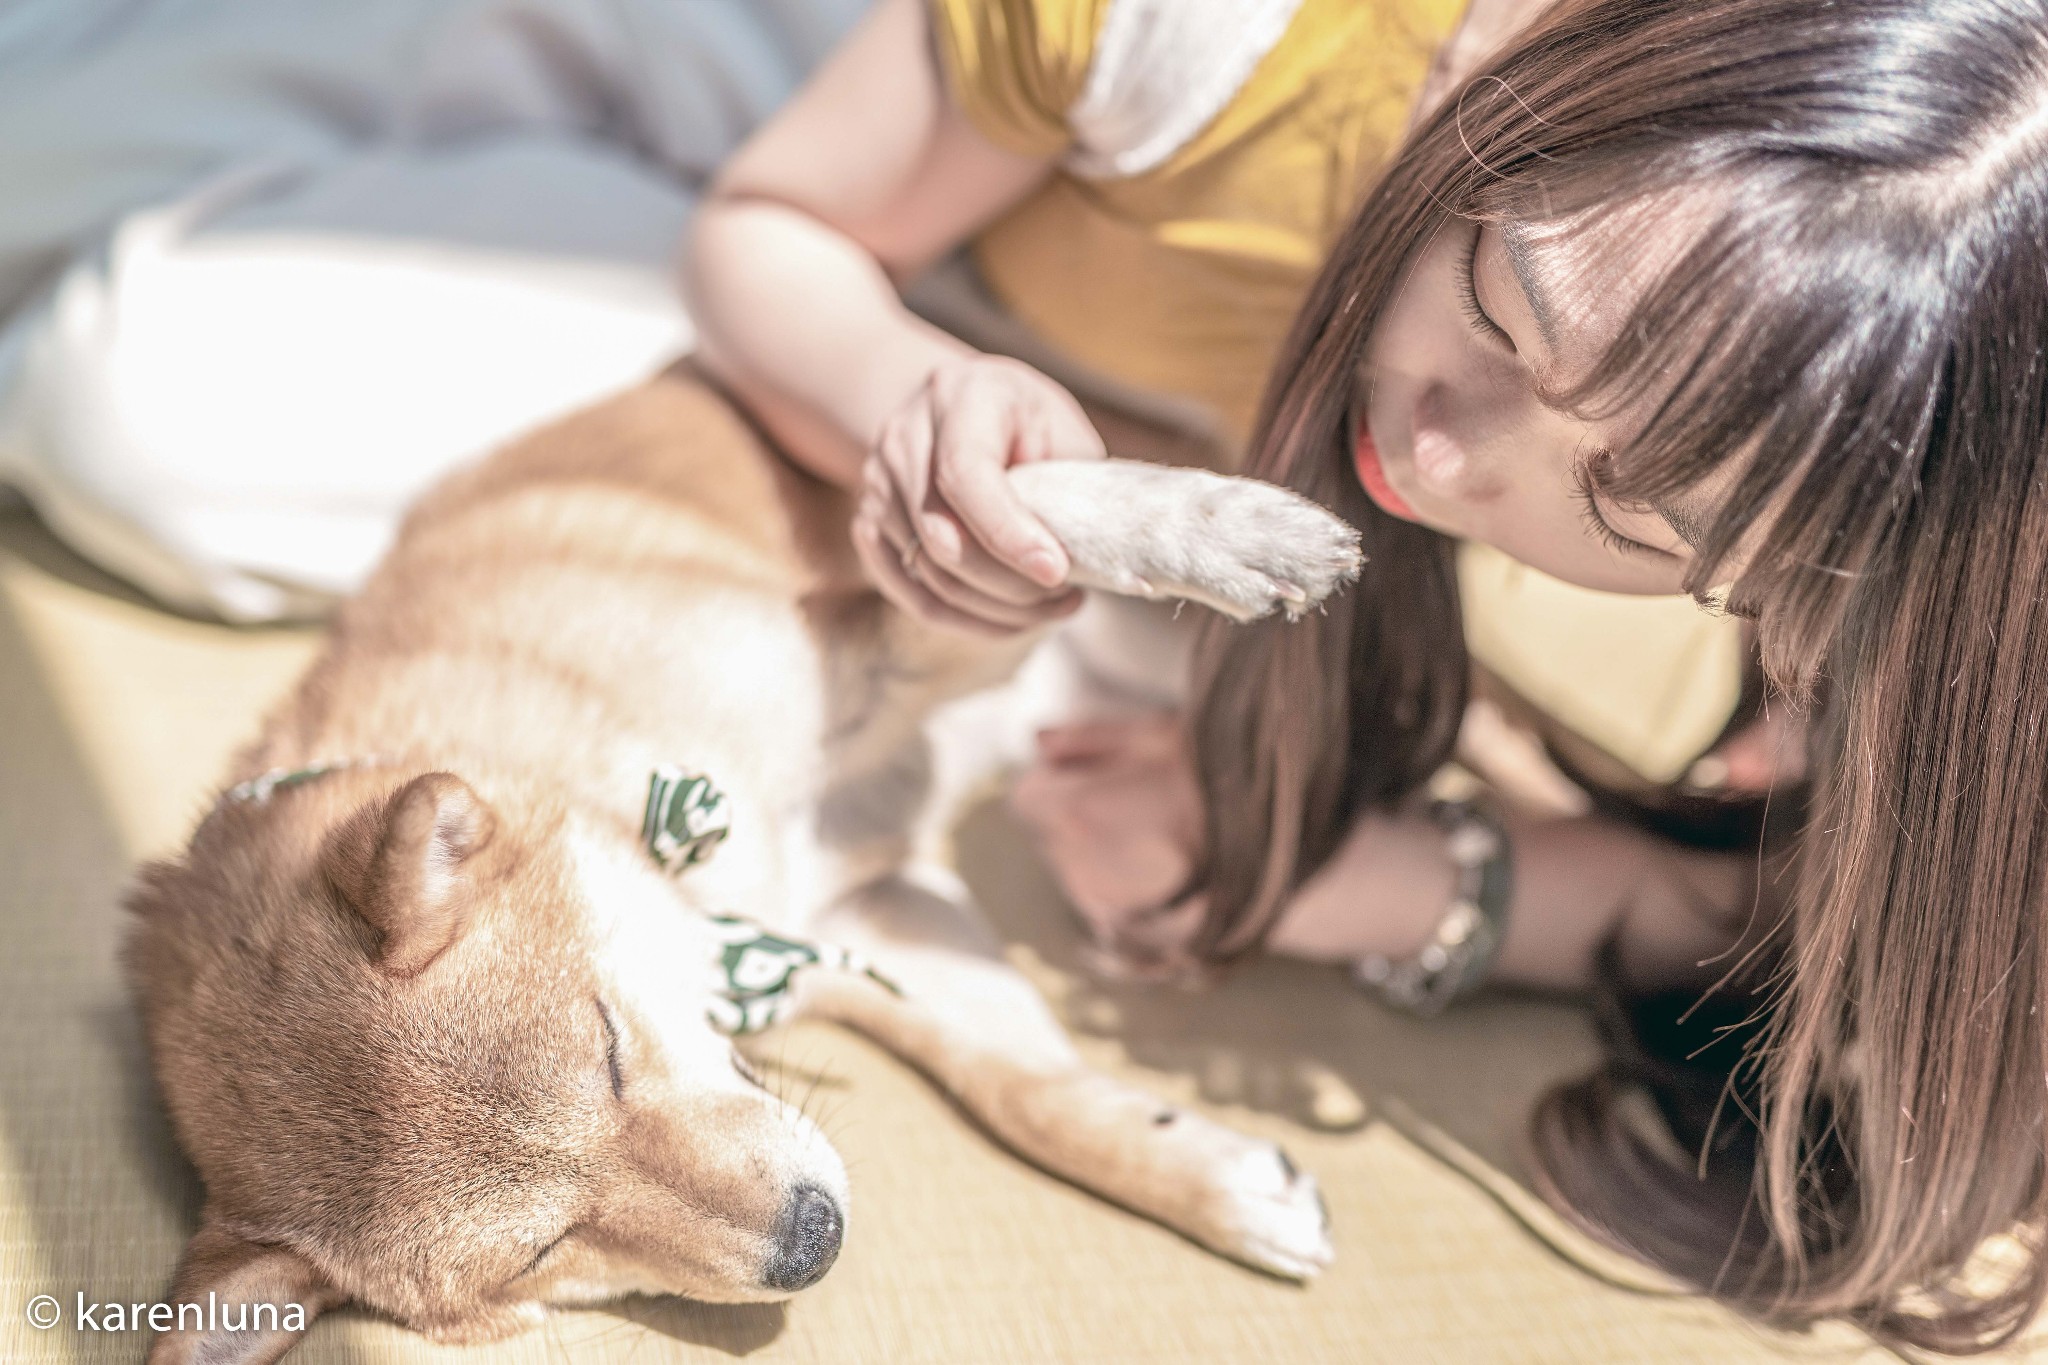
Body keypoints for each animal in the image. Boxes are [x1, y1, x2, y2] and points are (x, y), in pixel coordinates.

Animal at [128, 366, 1359, 1365]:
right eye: (545, 1251)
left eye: (609, 1048)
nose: (810, 1241)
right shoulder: (869, 925)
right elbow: (1026, 1094)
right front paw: (1213, 1179)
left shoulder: (898, 647)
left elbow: (1032, 511)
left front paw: (1236, 532)